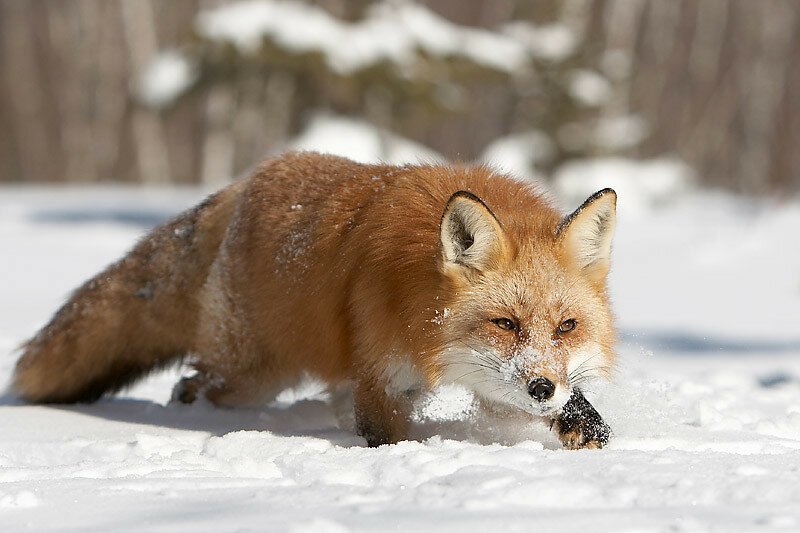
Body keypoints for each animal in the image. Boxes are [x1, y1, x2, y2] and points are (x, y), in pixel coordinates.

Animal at [12, 152, 616, 446]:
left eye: (566, 327)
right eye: (504, 323)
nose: (542, 387)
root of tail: (247, 183)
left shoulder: (484, 378)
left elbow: (578, 413)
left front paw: (587, 432)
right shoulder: (382, 378)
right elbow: (389, 441)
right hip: (252, 373)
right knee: (191, 385)